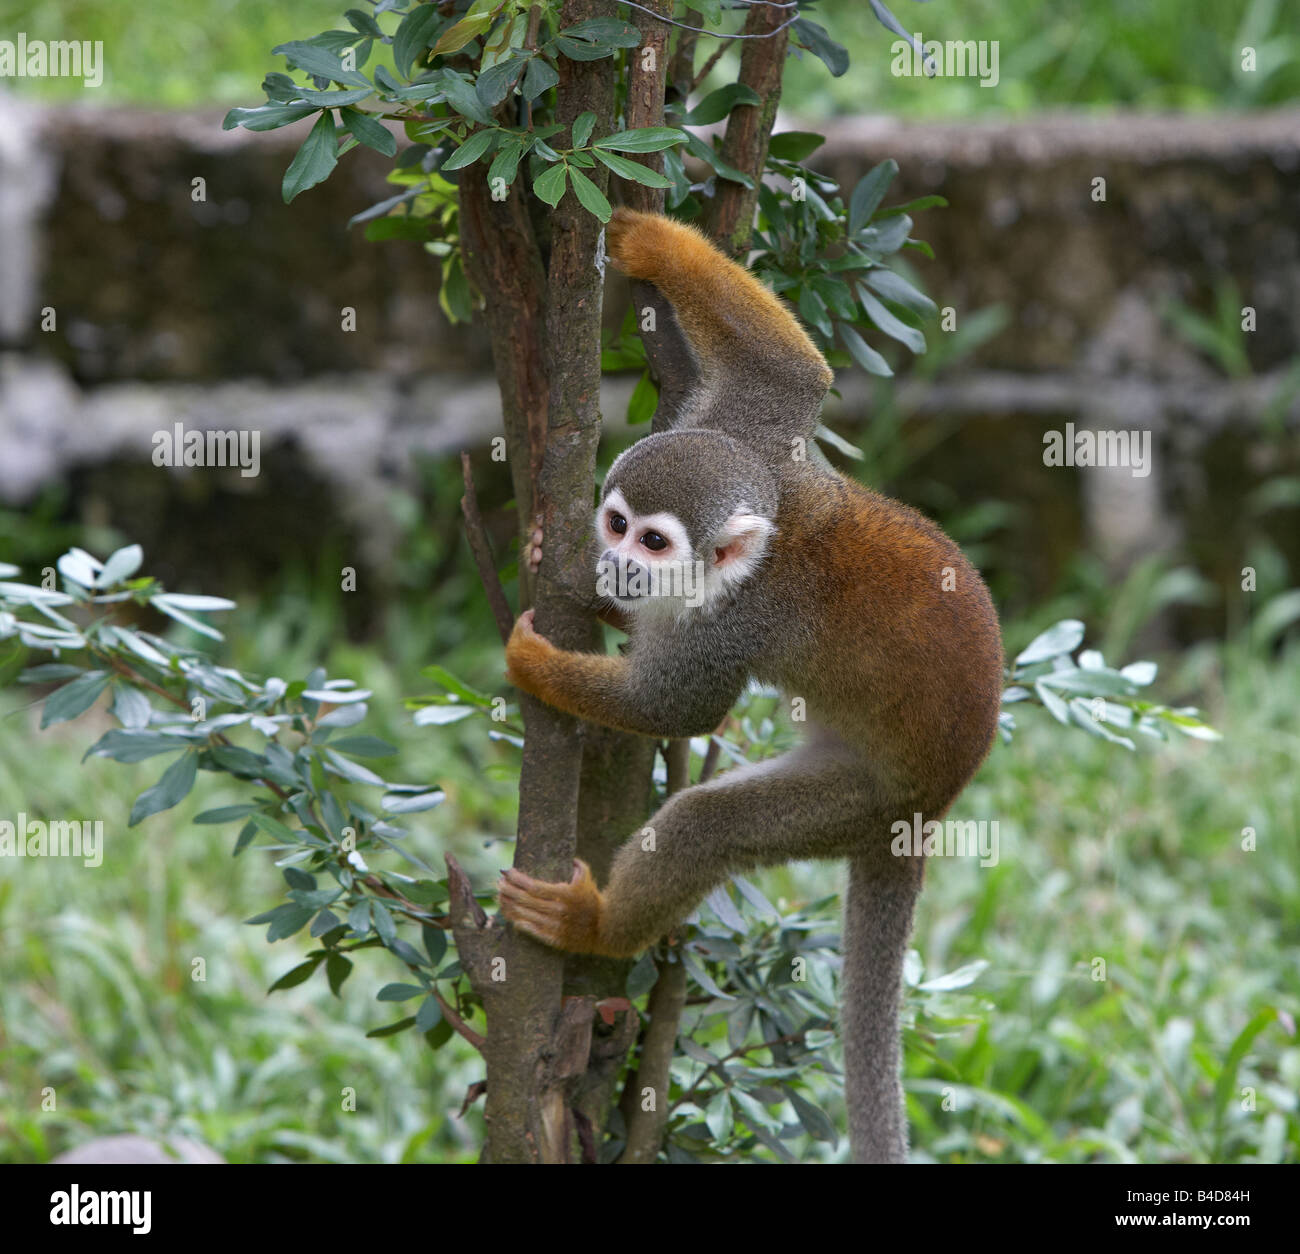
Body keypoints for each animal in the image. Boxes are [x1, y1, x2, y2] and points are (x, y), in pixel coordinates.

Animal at [496, 207, 1003, 1164]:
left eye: (654, 542)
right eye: (615, 523)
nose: (618, 563)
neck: (752, 549)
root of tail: (934, 803)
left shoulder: (733, 623)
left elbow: (682, 706)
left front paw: (535, 664)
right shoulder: (749, 437)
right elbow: (791, 374)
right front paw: (651, 237)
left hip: (853, 802)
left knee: (710, 824)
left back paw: (597, 927)